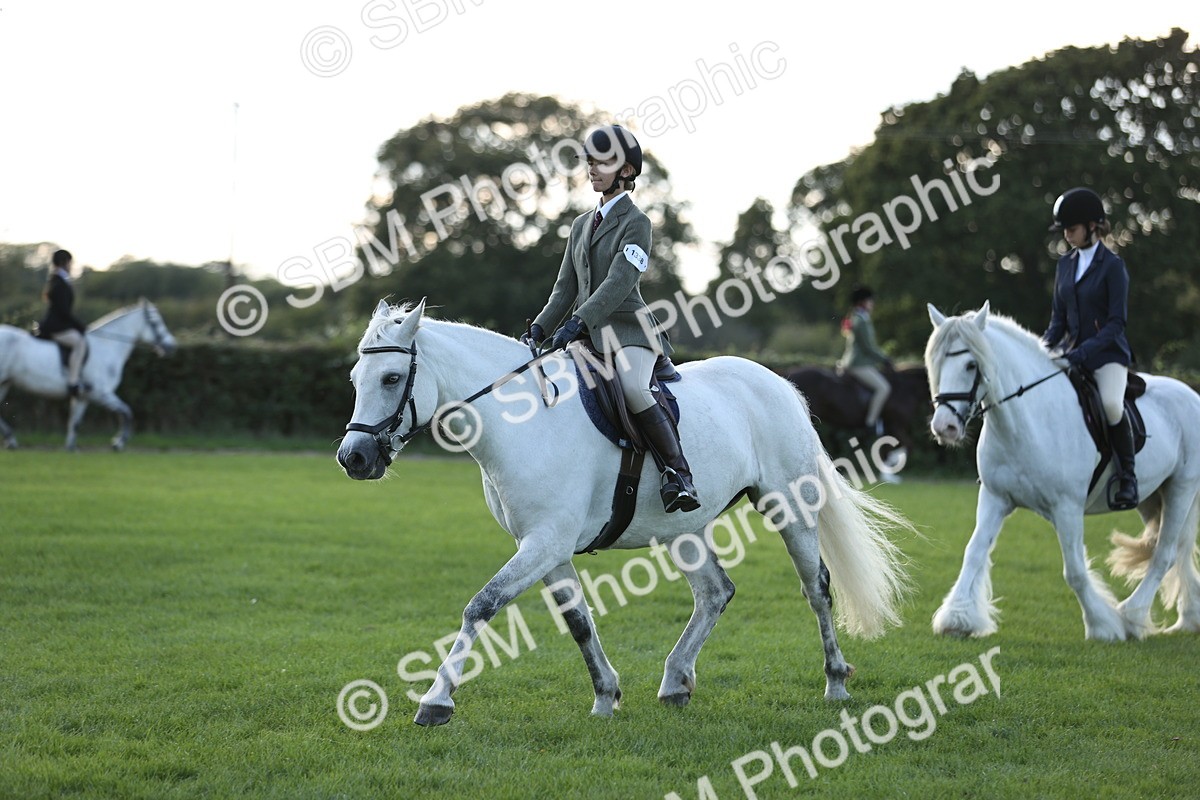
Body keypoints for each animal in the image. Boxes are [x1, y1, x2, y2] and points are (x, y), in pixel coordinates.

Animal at [0, 299, 176, 451]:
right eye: (155, 322)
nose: (171, 346)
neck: (106, 347)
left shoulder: (83, 397)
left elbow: (75, 423)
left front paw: (71, 448)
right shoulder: (101, 393)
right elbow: (127, 412)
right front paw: (118, 443)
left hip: (5, 383)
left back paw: (11, 440)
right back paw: (11, 440)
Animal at [336, 300, 914, 726]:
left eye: (392, 378)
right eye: (355, 379)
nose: (353, 458)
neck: (522, 419)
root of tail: (777, 382)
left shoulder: (544, 541)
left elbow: (481, 606)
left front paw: (435, 701)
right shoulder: (546, 546)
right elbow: (578, 622)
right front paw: (605, 696)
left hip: (787, 505)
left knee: (816, 586)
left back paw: (835, 681)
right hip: (683, 528)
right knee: (715, 592)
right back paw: (675, 682)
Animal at [925, 301, 1200, 641]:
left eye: (970, 365)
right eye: (937, 363)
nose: (944, 427)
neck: (1025, 422)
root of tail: (1191, 394)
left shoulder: (1066, 507)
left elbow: (1075, 571)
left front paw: (1102, 625)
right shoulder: (995, 498)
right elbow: (974, 551)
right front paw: (958, 618)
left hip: (1181, 488)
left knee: (1166, 553)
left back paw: (1131, 616)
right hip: (1152, 497)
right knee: (1179, 550)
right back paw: (1188, 619)